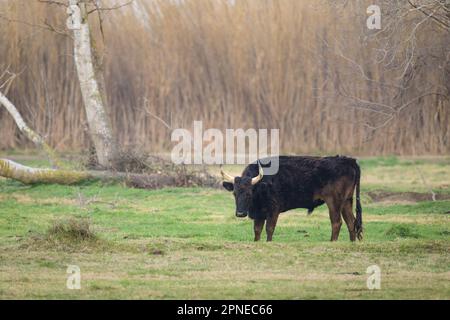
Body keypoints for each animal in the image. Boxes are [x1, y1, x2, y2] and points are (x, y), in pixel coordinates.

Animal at [221, 156, 362, 241]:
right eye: (234, 193)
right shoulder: (260, 214)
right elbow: (257, 230)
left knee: (337, 222)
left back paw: (332, 242)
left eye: (249, 193)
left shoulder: (273, 210)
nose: (240, 213)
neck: (263, 185)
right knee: (351, 222)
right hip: (346, 201)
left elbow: (269, 229)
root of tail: (349, 160)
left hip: (334, 202)